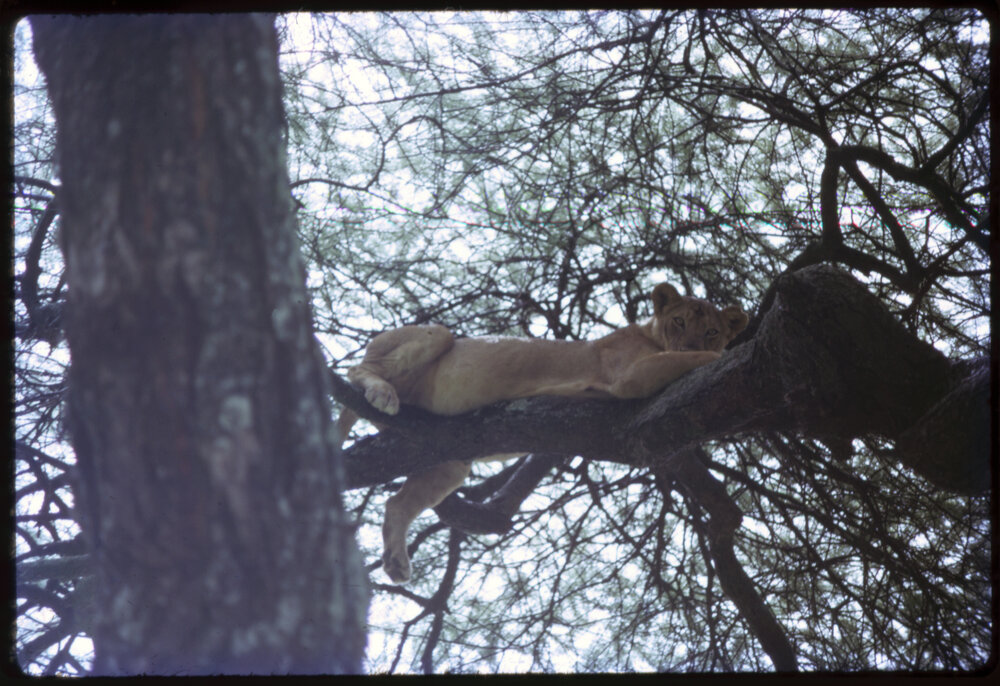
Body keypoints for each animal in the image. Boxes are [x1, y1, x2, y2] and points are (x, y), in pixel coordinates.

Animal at [343, 283, 748, 582]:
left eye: (712, 330)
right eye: (679, 322)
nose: (694, 340)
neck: (650, 334)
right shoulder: (630, 376)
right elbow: (688, 359)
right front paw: (717, 357)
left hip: (449, 462)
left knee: (397, 503)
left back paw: (396, 563)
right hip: (435, 335)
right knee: (356, 369)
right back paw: (382, 393)